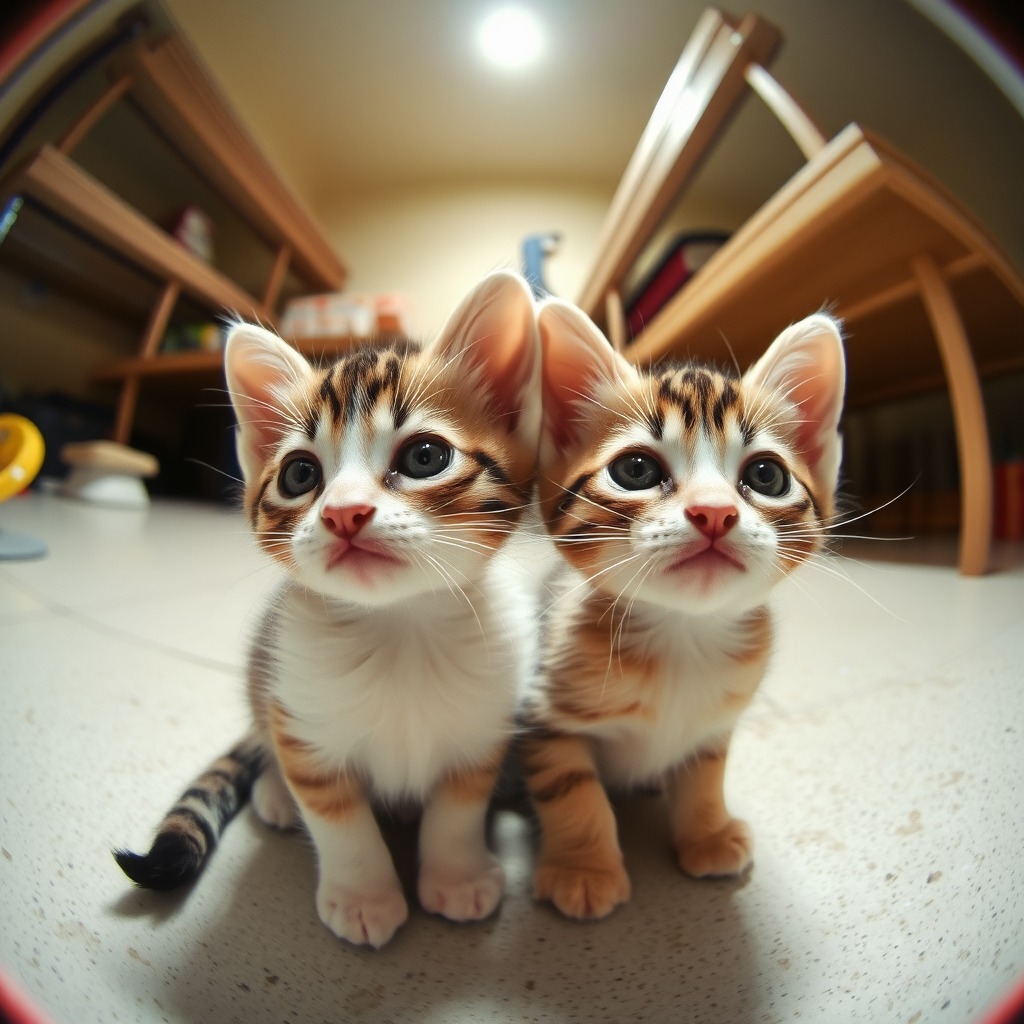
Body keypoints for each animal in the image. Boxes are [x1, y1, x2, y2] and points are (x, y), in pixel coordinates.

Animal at [116, 268, 540, 946]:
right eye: (299, 475)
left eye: (425, 457)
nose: (344, 513)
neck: (399, 632)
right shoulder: (301, 718)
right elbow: (337, 818)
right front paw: (364, 896)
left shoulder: (484, 726)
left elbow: (458, 808)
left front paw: (456, 875)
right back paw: (275, 794)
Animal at [524, 299, 843, 921]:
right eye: (636, 470)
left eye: (766, 475)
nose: (714, 512)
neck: (681, 636)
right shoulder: (543, 714)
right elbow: (572, 791)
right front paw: (585, 868)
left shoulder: (715, 723)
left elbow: (704, 777)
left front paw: (708, 833)